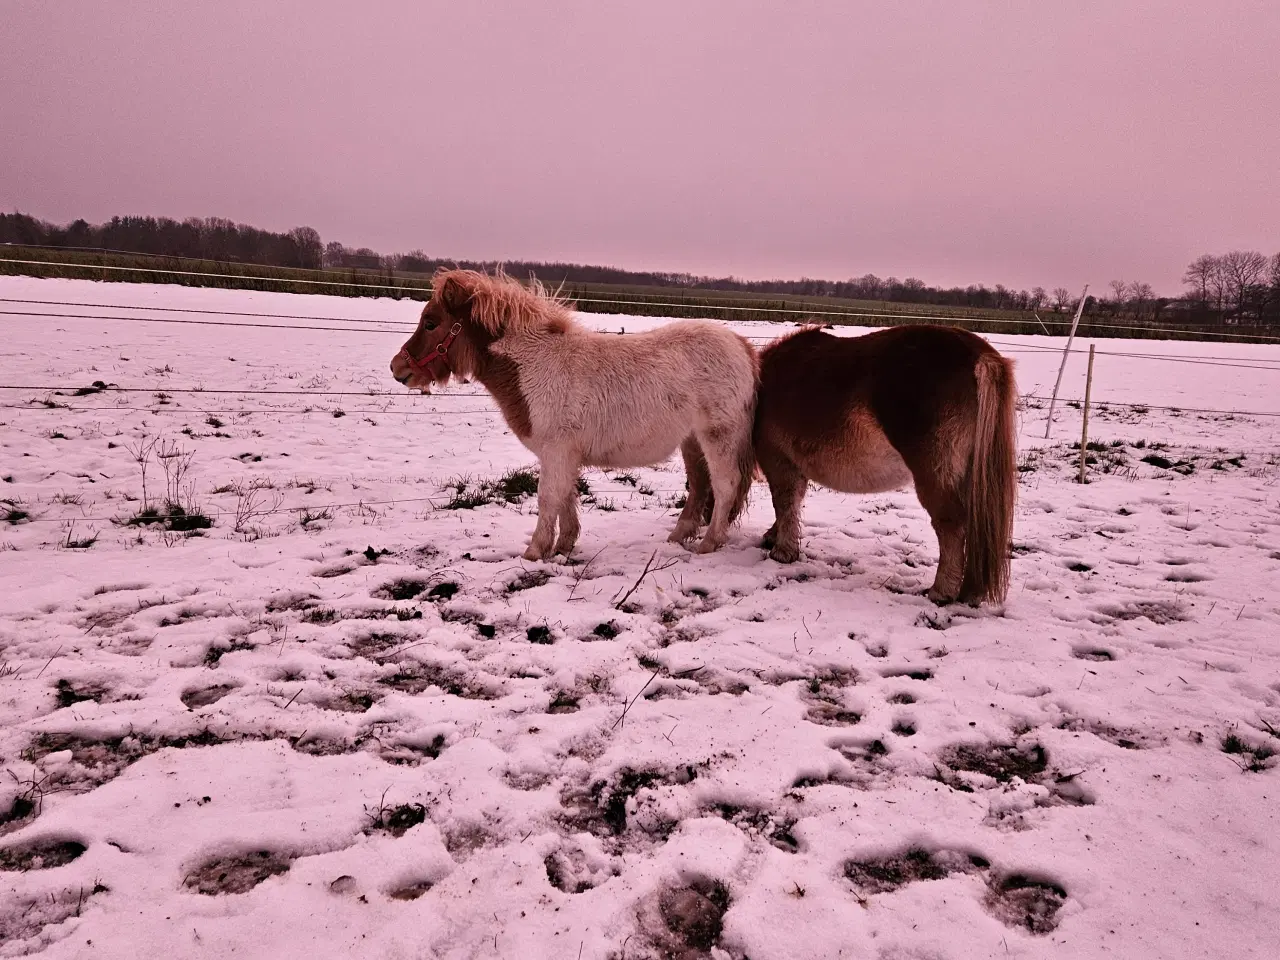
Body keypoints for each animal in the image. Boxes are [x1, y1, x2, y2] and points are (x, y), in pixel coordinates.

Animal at [384, 271, 752, 563]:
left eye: (431, 323)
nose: (397, 368)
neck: (535, 364)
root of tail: (741, 344)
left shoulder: (557, 451)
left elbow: (549, 497)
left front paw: (535, 552)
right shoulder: (562, 454)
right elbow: (565, 497)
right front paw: (563, 546)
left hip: (717, 437)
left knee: (725, 485)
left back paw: (709, 543)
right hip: (692, 441)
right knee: (701, 486)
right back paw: (677, 538)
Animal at [747, 327, 1013, 604]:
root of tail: (981, 355)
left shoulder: (779, 462)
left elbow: (785, 503)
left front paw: (782, 551)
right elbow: (793, 502)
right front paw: (774, 536)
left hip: (936, 475)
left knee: (951, 525)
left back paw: (941, 591)